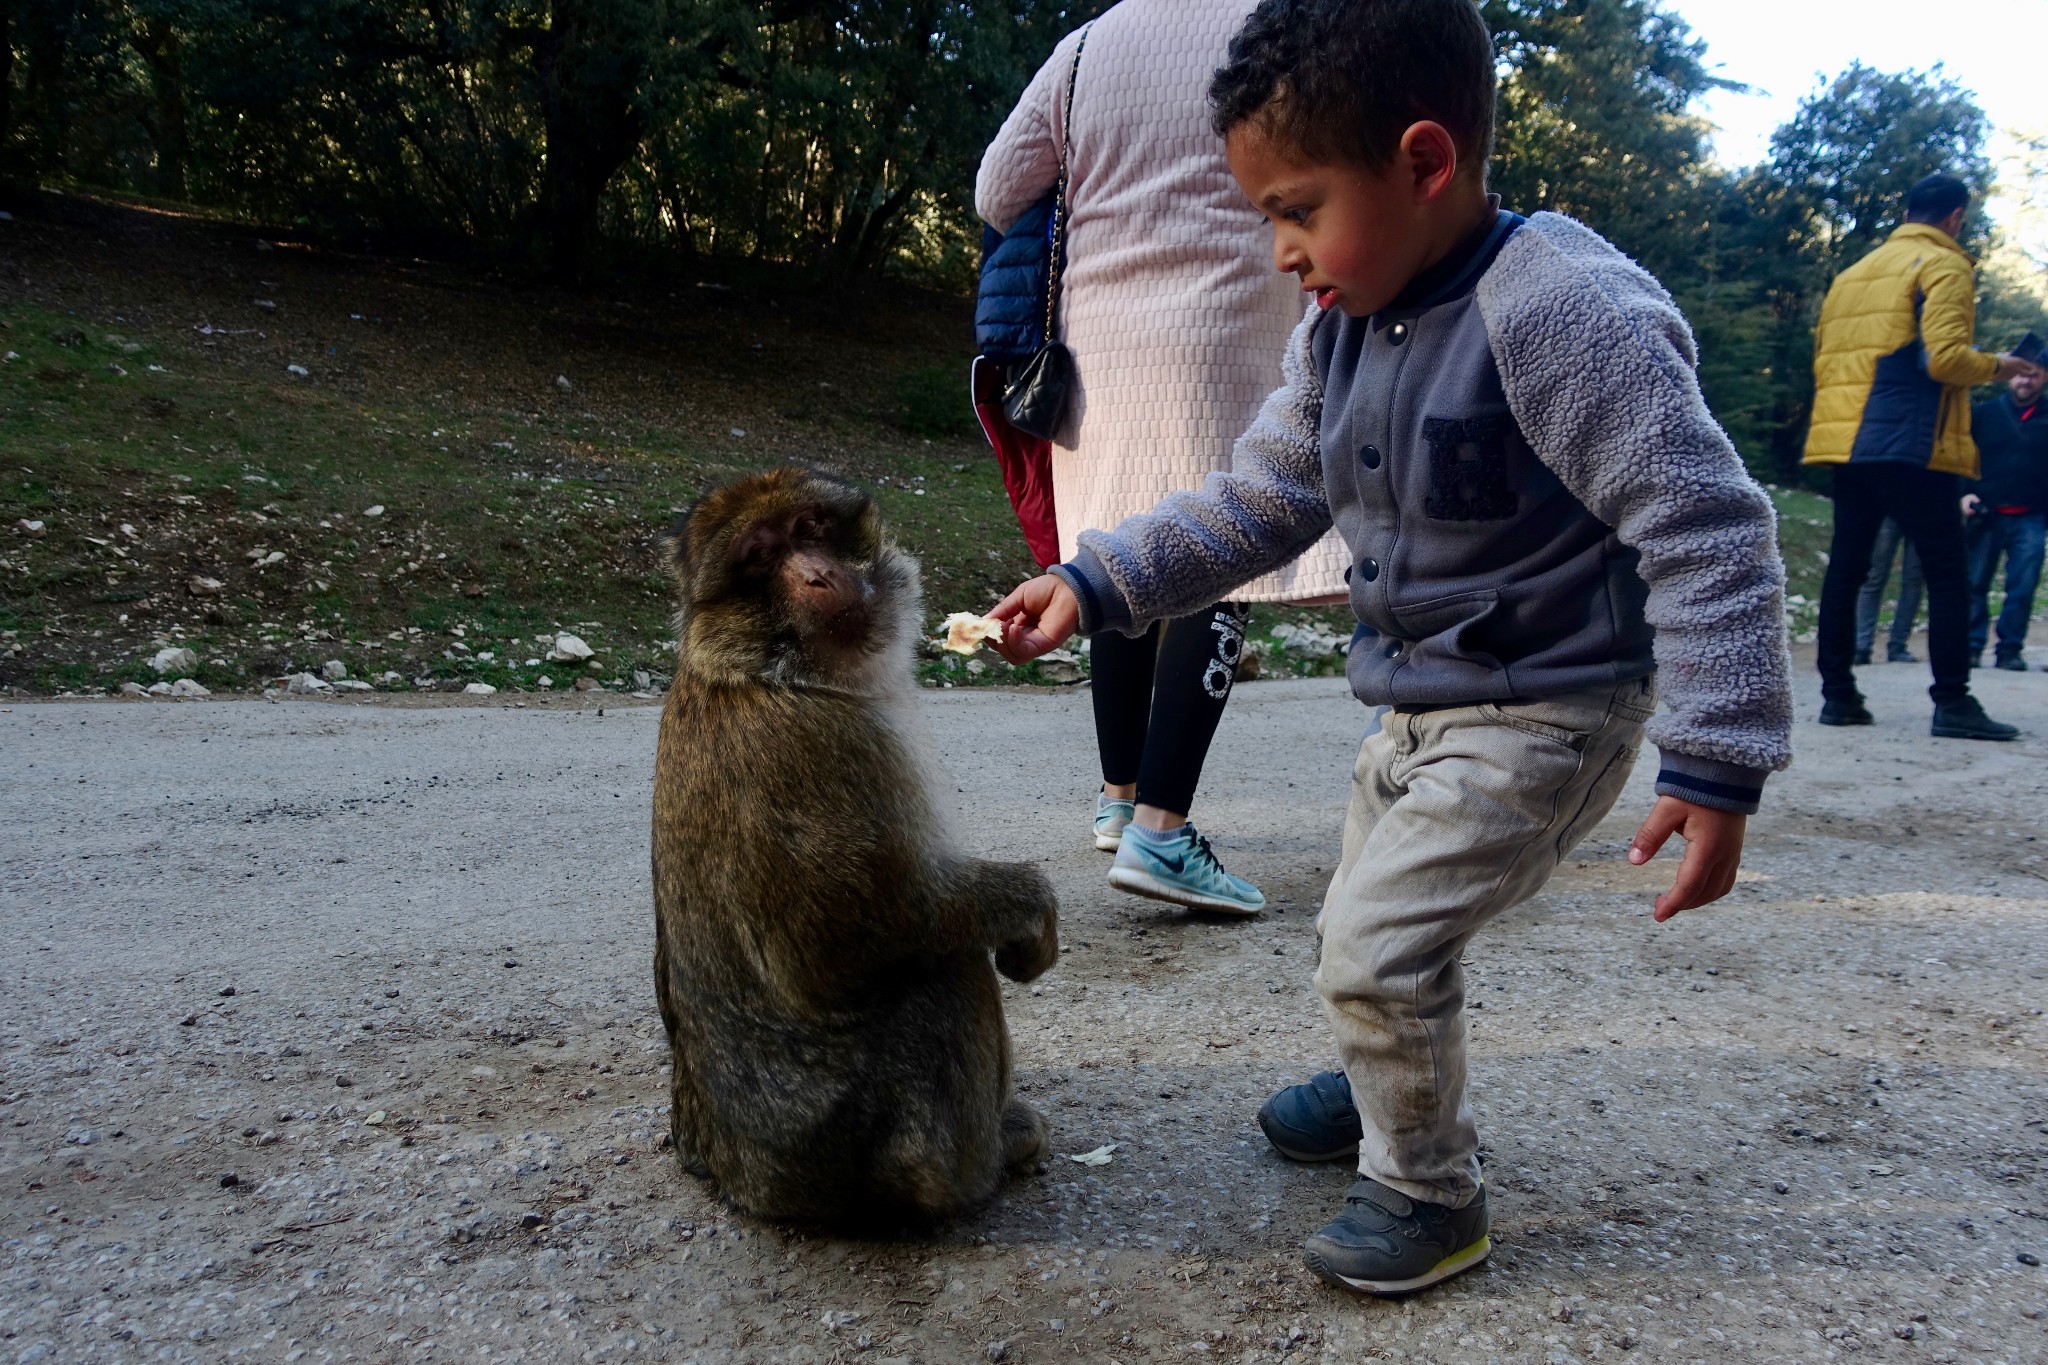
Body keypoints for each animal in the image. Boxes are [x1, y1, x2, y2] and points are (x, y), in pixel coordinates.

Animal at [655, 470, 1064, 1227]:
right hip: (854, 1152)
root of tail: (732, 1176)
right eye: (760, 557)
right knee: (946, 964)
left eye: (810, 529)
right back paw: (985, 1161)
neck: (761, 670)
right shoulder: (817, 748)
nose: (816, 574)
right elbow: (835, 940)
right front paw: (1030, 906)